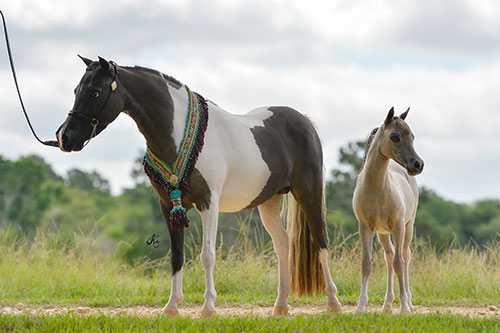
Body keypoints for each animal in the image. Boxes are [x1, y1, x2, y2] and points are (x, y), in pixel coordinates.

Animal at [55, 57, 344, 316]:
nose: (64, 137)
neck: (178, 134)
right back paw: (281, 305)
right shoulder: (168, 206)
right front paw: (171, 307)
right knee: (283, 245)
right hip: (269, 202)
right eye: (76, 90)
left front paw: (208, 308)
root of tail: (304, 120)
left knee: (320, 242)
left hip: (309, 192)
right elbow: (177, 255)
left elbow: (207, 255)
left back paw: (333, 303)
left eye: (94, 92)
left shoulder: (209, 203)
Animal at [352, 107, 422, 312]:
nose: (418, 164)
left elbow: (400, 263)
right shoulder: (365, 228)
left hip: (408, 228)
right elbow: (366, 264)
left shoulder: (398, 227)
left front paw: (404, 307)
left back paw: (408, 301)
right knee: (389, 257)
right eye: (395, 136)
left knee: (405, 256)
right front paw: (360, 307)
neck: (377, 189)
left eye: (412, 136)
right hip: (383, 233)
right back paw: (388, 304)